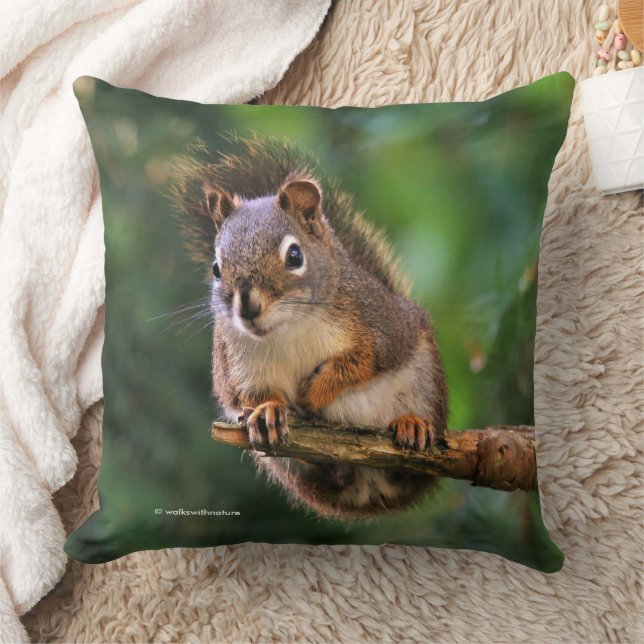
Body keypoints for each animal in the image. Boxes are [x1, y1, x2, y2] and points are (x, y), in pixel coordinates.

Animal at [171, 134, 448, 519]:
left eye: (294, 256)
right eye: (216, 268)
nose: (248, 307)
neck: (288, 329)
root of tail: (372, 491)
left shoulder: (380, 326)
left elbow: (363, 362)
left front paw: (316, 391)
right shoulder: (234, 364)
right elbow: (244, 394)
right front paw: (268, 410)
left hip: (424, 379)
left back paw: (413, 425)